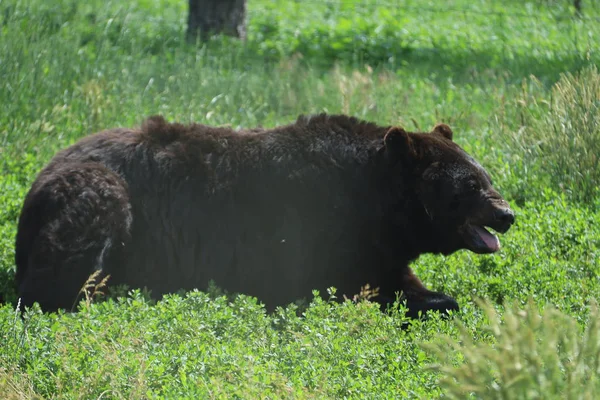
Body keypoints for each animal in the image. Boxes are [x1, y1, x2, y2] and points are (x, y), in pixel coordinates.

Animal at [14, 114, 512, 318]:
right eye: (469, 186)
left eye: (487, 176)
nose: (506, 214)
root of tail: (39, 178)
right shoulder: (312, 225)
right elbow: (343, 284)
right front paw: (438, 302)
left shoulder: (377, 244)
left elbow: (394, 277)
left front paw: (442, 298)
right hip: (97, 190)